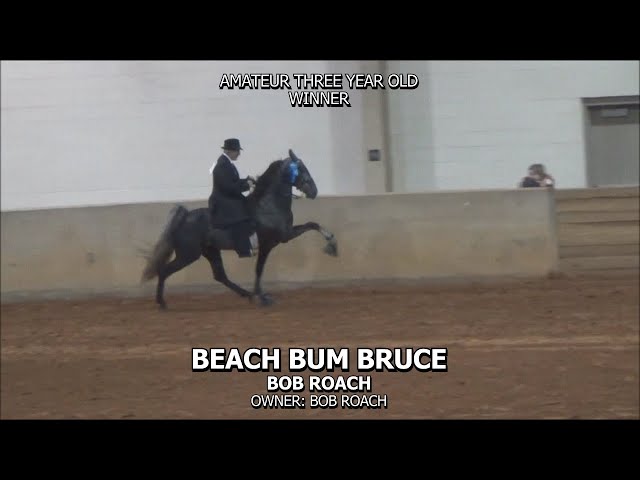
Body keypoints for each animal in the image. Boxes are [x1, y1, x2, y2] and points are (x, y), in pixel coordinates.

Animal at [141, 148, 340, 310]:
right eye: (301, 169)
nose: (314, 191)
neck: (268, 206)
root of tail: (185, 217)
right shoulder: (272, 242)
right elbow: (259, 269)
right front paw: (263, 298)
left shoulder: (285, 234)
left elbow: (312, 224)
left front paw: (332, 245)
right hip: (188, 254)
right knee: (164, 271)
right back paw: (161, 303)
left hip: (210, 251)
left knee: (220, 276)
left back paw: (247, 295)